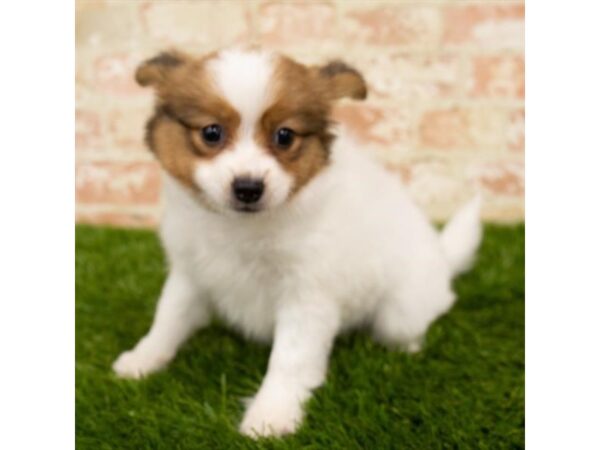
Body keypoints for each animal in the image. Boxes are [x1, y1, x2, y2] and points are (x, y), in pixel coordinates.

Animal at [112, 47, 482, 438]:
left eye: (285, 136)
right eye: (211, 132)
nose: (248, 188)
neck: (243, 228)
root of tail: (443, 258)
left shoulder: (307, 294)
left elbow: (289, 358)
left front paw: (271, 415)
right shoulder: (190, 273)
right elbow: (167, 317)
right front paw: (143, 358)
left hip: (400, 312)